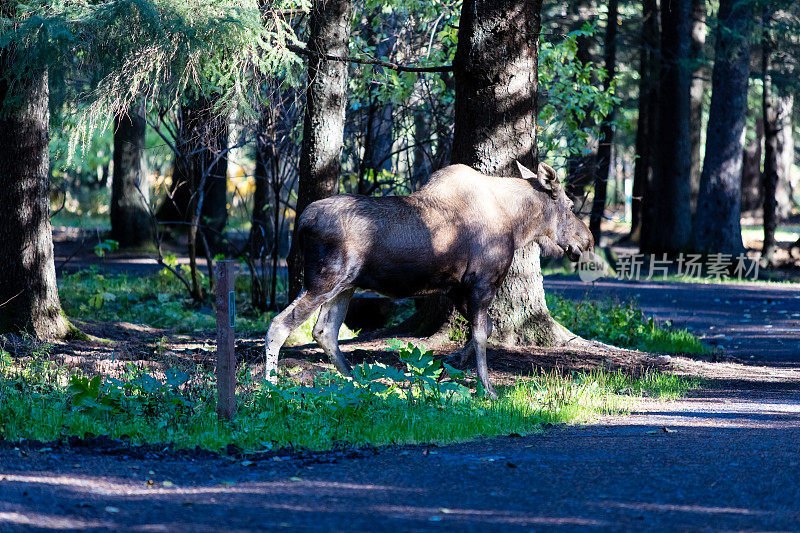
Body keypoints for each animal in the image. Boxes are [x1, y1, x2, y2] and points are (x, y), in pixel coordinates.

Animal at [268, 161, 592, 394]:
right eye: (570, 205)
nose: (587, 240)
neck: (518, 223)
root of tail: (301, 222)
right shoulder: (481, 283)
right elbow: (481, 334)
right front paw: (487, 389)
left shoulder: (455, 287)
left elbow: (484, 330)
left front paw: (451, 367)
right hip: (324, 281)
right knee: (280, 324)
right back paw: (269, 386)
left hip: (343, 286)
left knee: (325, 331)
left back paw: (358, 383)